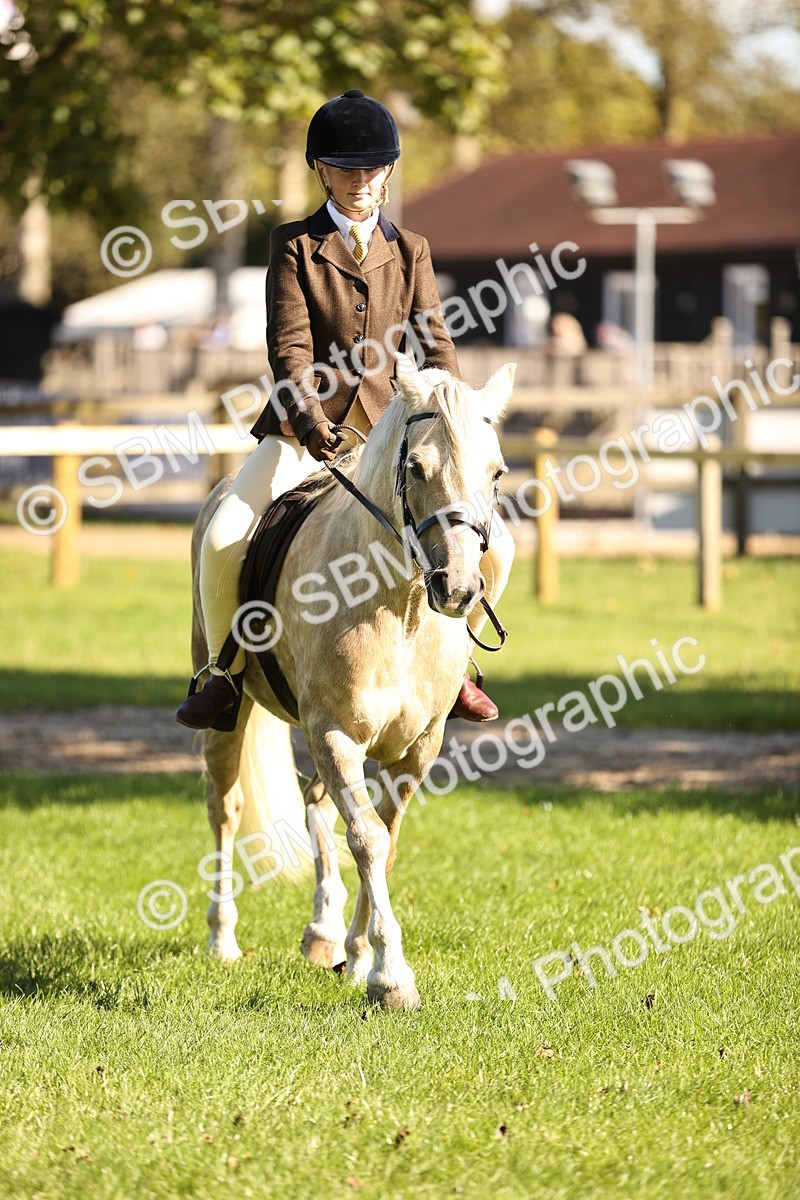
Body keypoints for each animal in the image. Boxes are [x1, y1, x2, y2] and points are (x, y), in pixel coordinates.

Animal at [190, 362, 515, 1010]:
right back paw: (223, 938)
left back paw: (324, 932)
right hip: (235, 715)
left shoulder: (417, 747)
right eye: (417, 469)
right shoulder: (336, 734)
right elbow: (365, 838)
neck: (400, 605)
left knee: (315, 804)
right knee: (226, 807)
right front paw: (391, 976)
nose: (460, 589)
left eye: (496, 472)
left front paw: (361, 954)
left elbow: (383, 838)